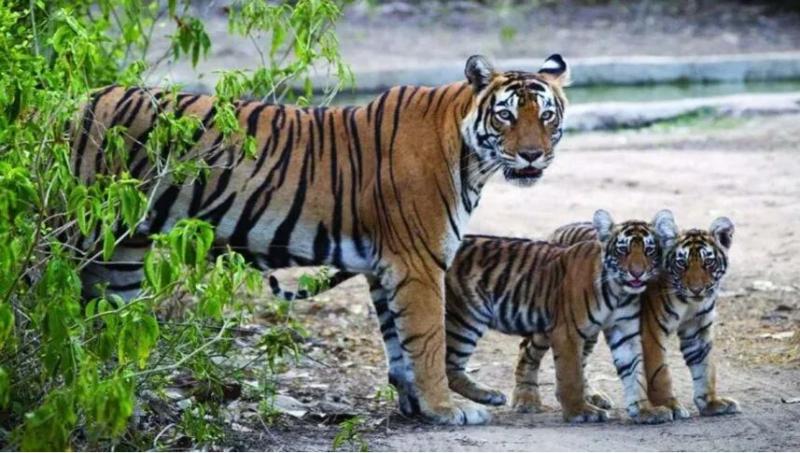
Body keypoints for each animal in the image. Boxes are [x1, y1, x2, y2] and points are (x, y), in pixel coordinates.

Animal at [69, 54, 570, 425]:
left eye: (546, 116)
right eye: (505, 115)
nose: (533, 155)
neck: (472, 160)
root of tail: (68, 102)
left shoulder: (385, 267)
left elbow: (399, 344)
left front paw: (414, 407)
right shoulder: (418, 263)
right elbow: (427, 340)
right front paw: (446, 410)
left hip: (121, 253)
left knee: (106, 331)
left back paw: (115, 401)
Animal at [544, 212, 740, 419]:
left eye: (708, 262)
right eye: (681, 263)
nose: (696, 289)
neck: (690, 303)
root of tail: (560, 229)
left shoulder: (698, 330)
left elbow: (705, 367)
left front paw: (711, 402)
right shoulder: (651, 329)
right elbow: (659, 372)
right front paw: (669, 405)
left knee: (580, 360)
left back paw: (593, 398)